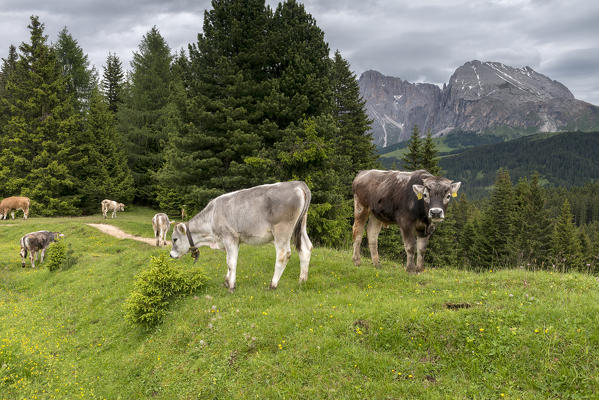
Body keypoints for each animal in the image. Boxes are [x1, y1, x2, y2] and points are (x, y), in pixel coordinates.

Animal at [166, 181, 312, 290]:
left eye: (174, 239)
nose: (171, 255)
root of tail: (296, 183)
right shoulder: (232, 241)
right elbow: (228, 260)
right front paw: (227, 281)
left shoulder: (230, 237)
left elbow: (231, 262)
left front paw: (231, 285)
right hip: (301, 226)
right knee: (306, 248)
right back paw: (302, 281)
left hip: (282, 230)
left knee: (283, 254)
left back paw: (273, 284)